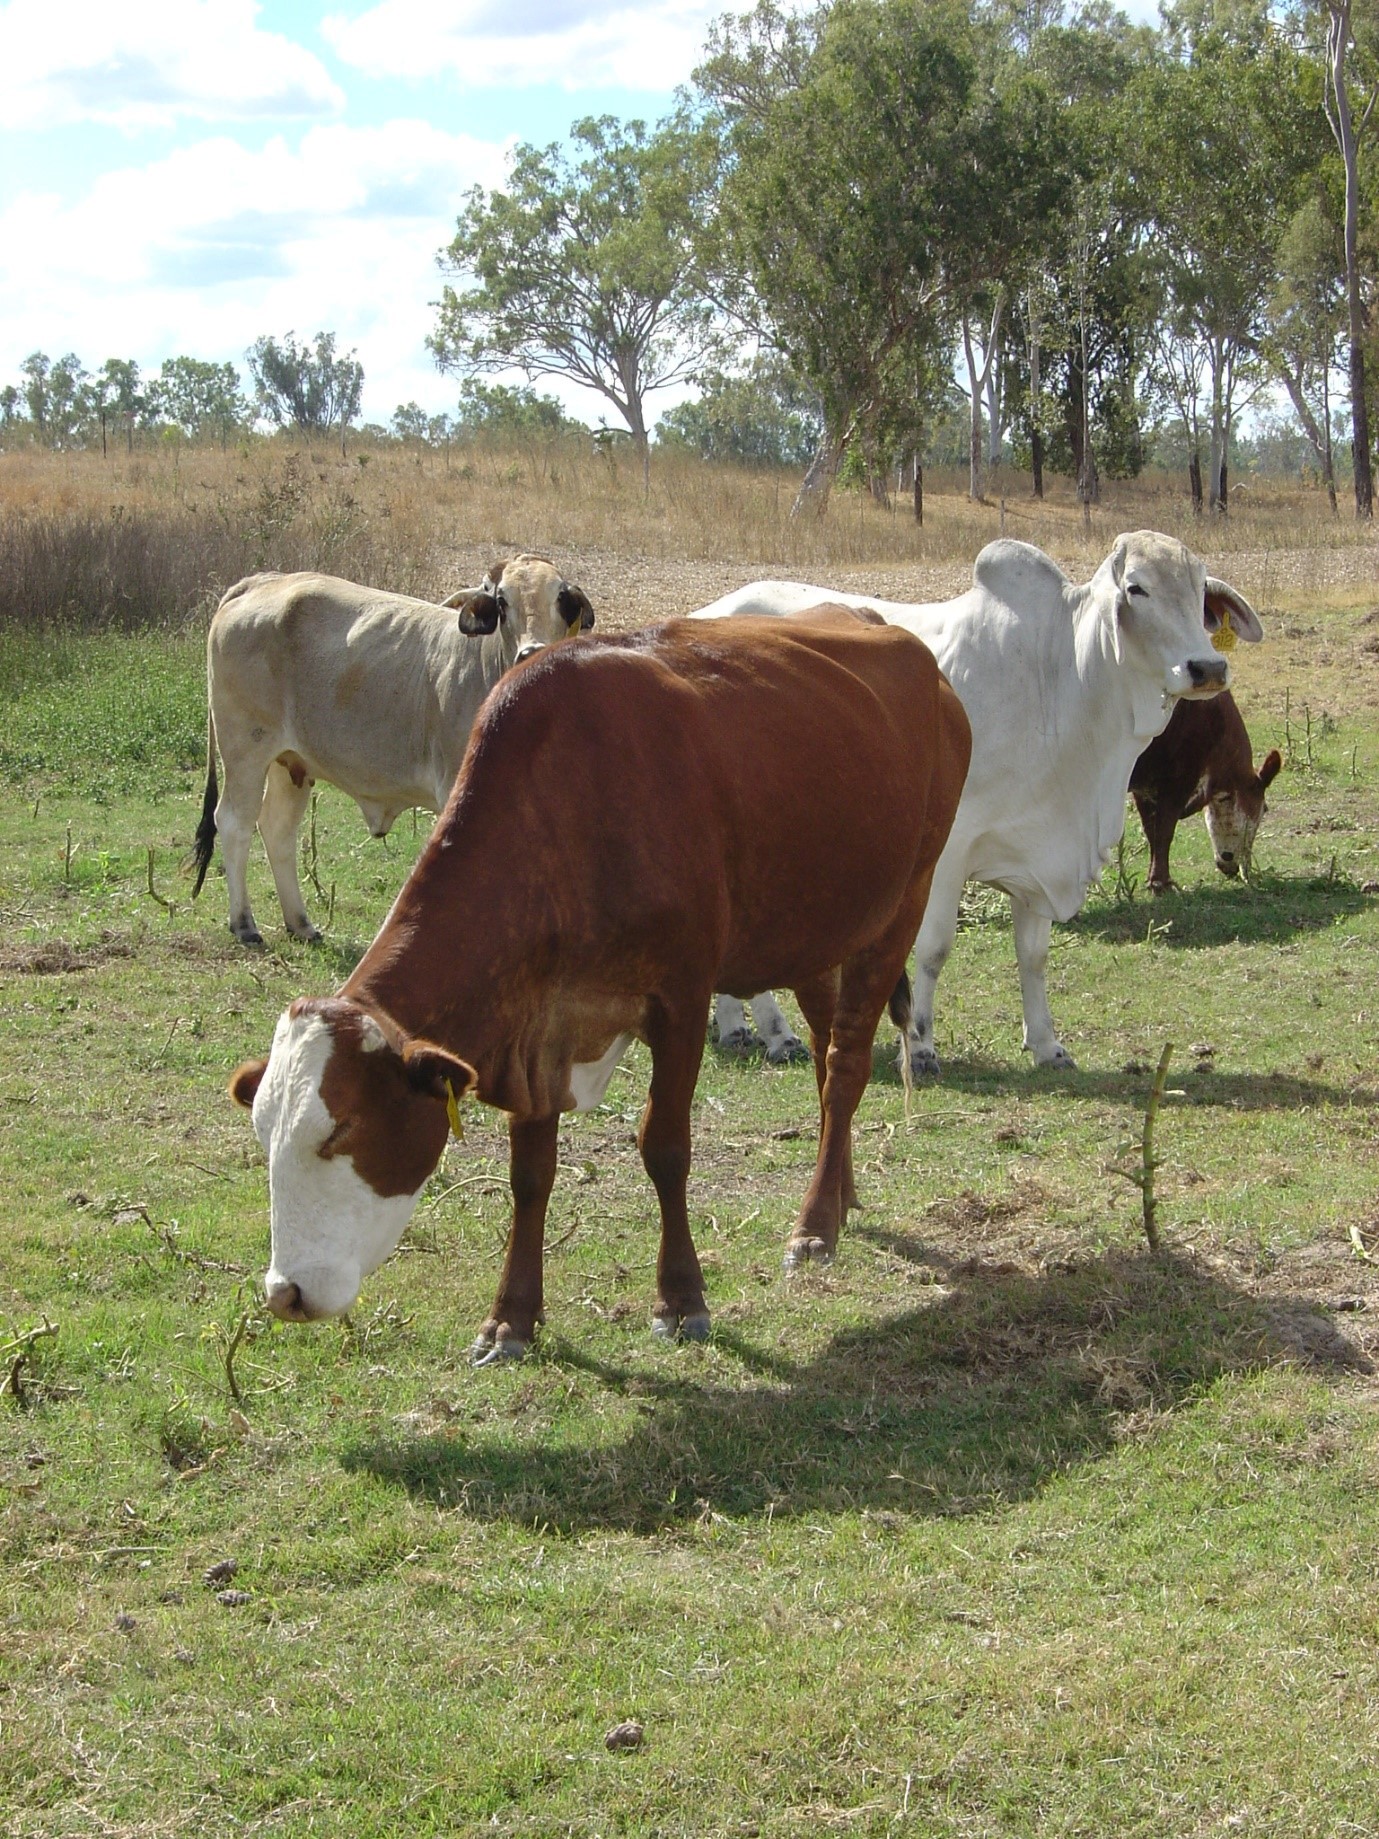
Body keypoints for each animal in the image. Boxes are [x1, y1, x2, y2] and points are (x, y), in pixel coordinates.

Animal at [192, 551, 592, 941]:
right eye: (502, 601)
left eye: (560, 598)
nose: (532, 651)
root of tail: (262, 581)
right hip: (245, 750)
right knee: (234, 822)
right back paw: (244, 924)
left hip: (290, 763)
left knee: (277, 830)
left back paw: (301, 924)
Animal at [229, 610, 970, 1360]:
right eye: (263, 1134)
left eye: (342, 1129)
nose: (285, 1292)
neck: (571, 807)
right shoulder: (534, 1020)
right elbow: (530, 1173)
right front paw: (511, 1318)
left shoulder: (680, 1000)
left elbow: (665, 1148)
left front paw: (681, 1298)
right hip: (817, 930)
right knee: (825, 1058)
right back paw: (840, 1197)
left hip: (902, 903)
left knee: (846, 1065)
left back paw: (815, 1225)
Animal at [1132, 691, 1287, 890]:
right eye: (1264, 809)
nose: (1237, 868)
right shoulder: (1181, 777)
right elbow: (1164, 831)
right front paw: (1161, 883)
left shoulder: (1145, 786)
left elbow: (1151, 830)